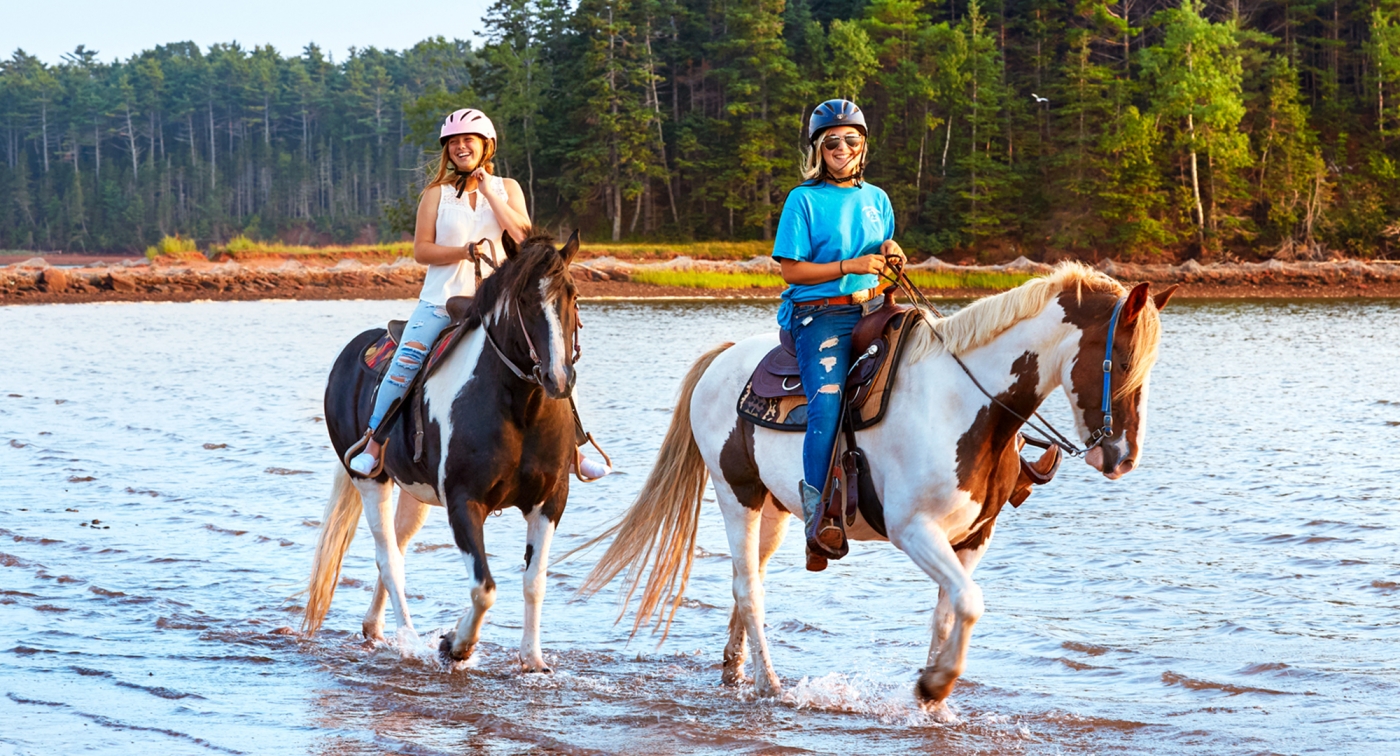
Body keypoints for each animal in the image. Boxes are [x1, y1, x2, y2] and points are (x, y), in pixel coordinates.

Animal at [298, 231, 582, 672]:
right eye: (523, 299)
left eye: (571, 294)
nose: (557, 377)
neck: (520, 409)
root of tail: (349, 354)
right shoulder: (464, 502)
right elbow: (484, 586)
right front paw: (456, 644)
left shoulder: (549, 502)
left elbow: (534, 581)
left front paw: (533, 660)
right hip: (370, 480)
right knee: (388, 559)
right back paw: (409, 640)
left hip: (415, 493)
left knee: (397, 548)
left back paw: (375, 628)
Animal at [574, 261, 1176, 708]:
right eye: (1122, 361)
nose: (1122, 458)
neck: (965, 403)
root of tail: (721, 359)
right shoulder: (913, 531)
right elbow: (971, 602)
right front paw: (934, 685)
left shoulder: (973, 537)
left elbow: (950, 611)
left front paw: (934, 699)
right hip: (735, 495)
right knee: (749, 589)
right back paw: (771, 685)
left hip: (774, 508)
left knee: (747, 585)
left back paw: (734, 673)